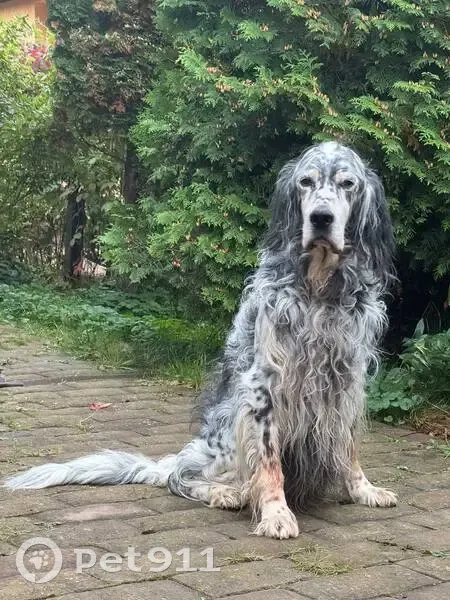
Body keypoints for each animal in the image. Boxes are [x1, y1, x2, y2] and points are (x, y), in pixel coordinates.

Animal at [4, 141, 398, 539]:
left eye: (347, 183)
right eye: (306, 182)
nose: (320, 218)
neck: (319, 290)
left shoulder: (348, 379)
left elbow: (350, 446)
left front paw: (363, 489)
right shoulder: (263, 383)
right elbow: (268, 460)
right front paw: (276, 513)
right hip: (225, 437)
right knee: (180, 476)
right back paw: (225, 492)